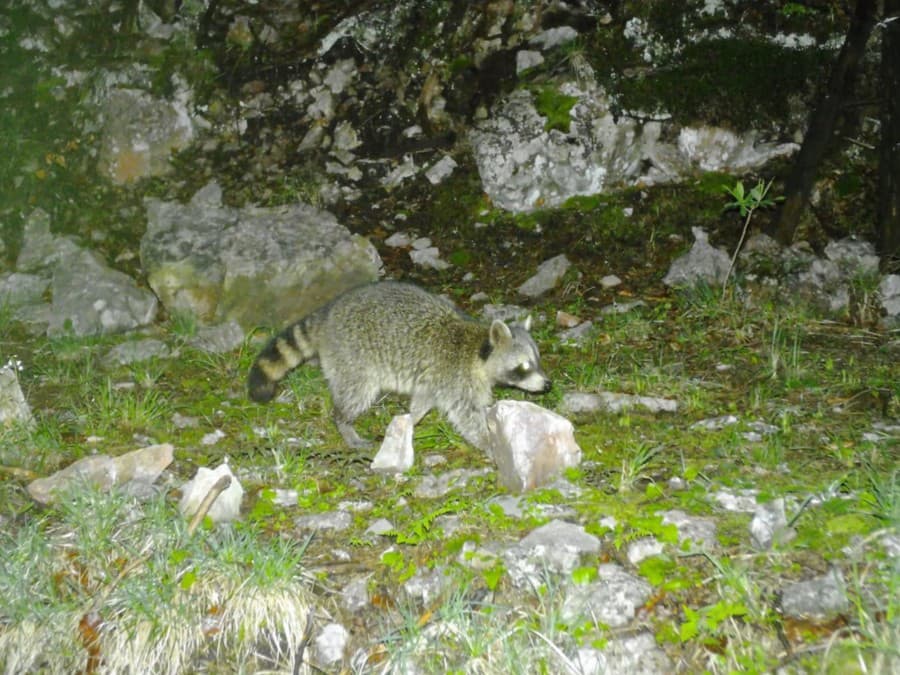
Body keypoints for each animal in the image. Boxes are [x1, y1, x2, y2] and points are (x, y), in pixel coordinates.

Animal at [250, 282, 552, 454]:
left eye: (537, 361)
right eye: (523, 366)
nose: (548, 385)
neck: (479, 349)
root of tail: (328, 313)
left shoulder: (435, 381)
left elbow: (422, 401)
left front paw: (411, 419)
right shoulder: (456, 379)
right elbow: (466, 415)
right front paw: (488, 441)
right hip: (352, 356)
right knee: (357, 392)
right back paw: (344, 421)